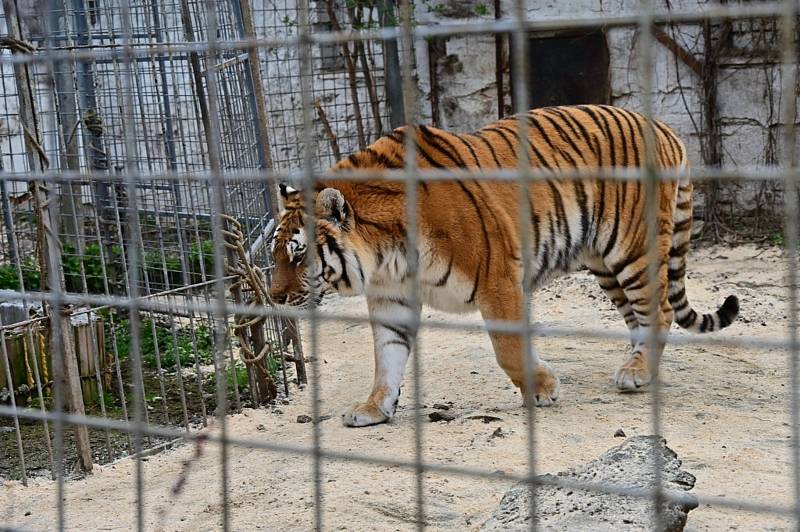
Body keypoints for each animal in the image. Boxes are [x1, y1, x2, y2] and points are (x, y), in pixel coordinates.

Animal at [268, 105, 736, 428]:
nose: (274, 298)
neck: (386, 255)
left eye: (299, 254)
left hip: (633, 250)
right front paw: (373, 408)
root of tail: (665, 128)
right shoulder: (391, 299)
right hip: (605, 263)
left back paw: (636, 374)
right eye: (273, 254)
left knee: (661, 311)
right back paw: (636, 367)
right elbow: (387, 356)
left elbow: (507, 348)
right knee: (641, 318)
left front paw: (544, 388)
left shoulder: (498, 277)